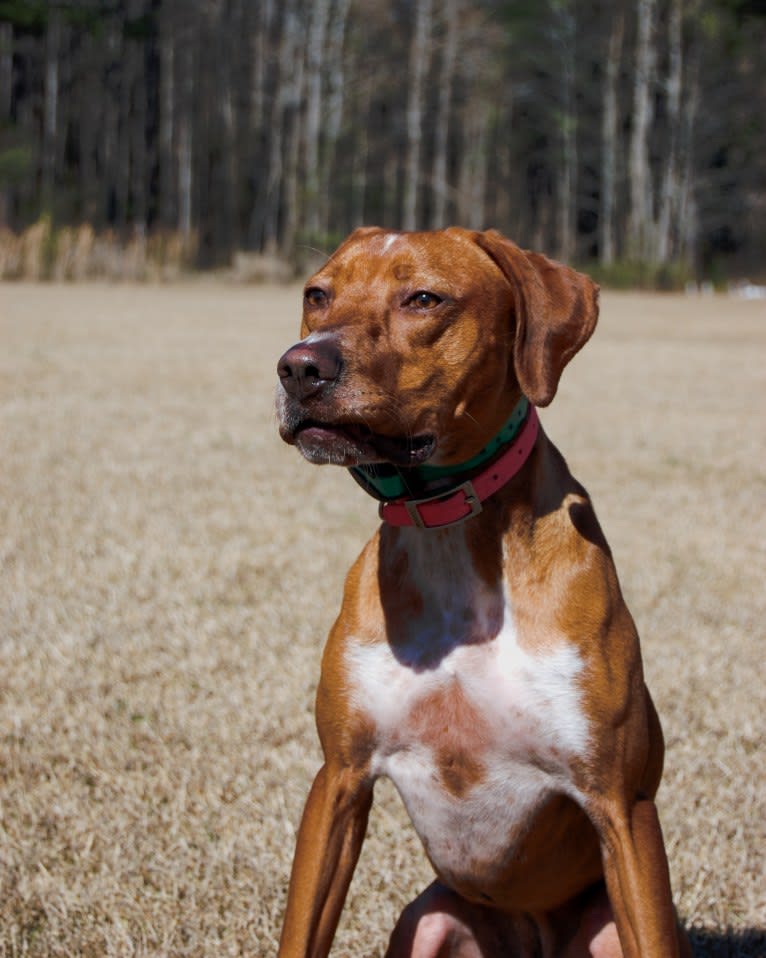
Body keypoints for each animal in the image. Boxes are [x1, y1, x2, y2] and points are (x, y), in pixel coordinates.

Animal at [274, 229, 688, 956]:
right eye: (316, 294)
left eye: (423, 299)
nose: (299, 368)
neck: (451, 533)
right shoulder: (339, 781)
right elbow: (301, 929)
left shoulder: (622, 804)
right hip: (433, 920)